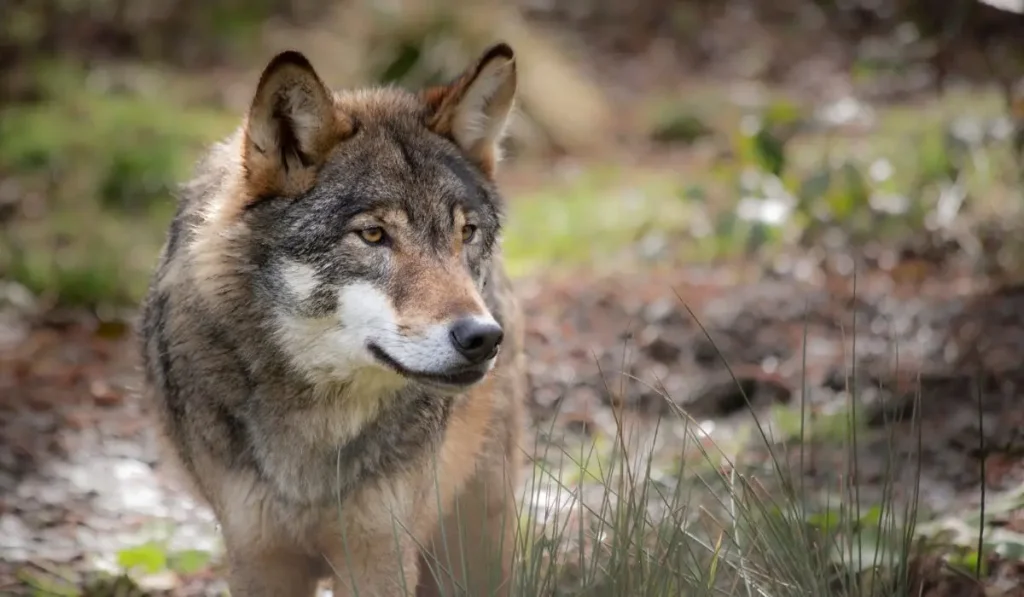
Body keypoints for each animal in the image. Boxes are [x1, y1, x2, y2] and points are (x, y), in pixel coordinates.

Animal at [138, 43, 526, 597]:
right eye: (373, 235)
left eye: (465, 232)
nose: (482, 337)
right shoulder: (258, 556)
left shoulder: (379, 553)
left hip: (476, 536)